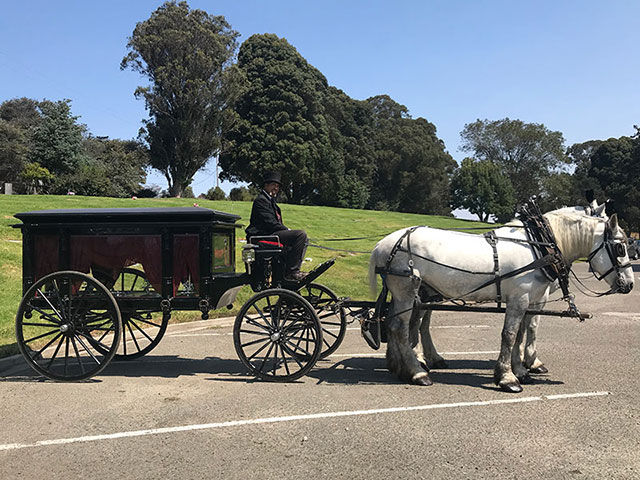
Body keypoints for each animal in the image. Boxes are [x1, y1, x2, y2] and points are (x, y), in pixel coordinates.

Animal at [368, 210, 632, 394]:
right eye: (620, 248)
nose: (629, 284)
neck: (540, 248)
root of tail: (382, 244)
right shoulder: (519, 298)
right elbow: (511, 334)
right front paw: (507, 377)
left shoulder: (530, 300)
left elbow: (523, 332)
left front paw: (522, 369)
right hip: (406, 290)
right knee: (400, 327)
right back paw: (416, 371)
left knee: (399, 324)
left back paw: (401, 366)